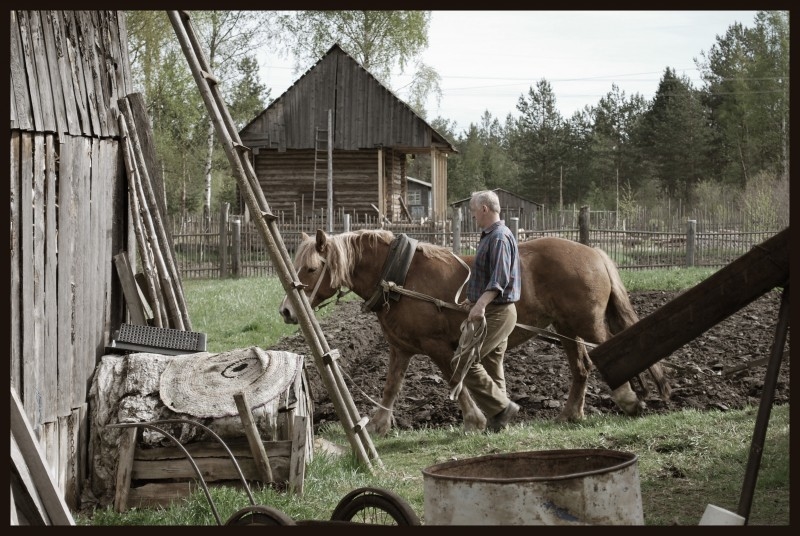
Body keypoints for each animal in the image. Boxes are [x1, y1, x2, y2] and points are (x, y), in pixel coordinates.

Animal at [278, 229, 672, 436]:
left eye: (311, 268)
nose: (286, 311)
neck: (401, 278)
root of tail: (594, 253)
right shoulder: (401, 348)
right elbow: (391, 386)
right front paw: (377, 424)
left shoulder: (438, 345)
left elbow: (457, 379)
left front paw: (474, 419)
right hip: (565, 329)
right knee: (582, 368)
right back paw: (571, 414)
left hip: (587, 324)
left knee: (612, 355)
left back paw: (628, 400)